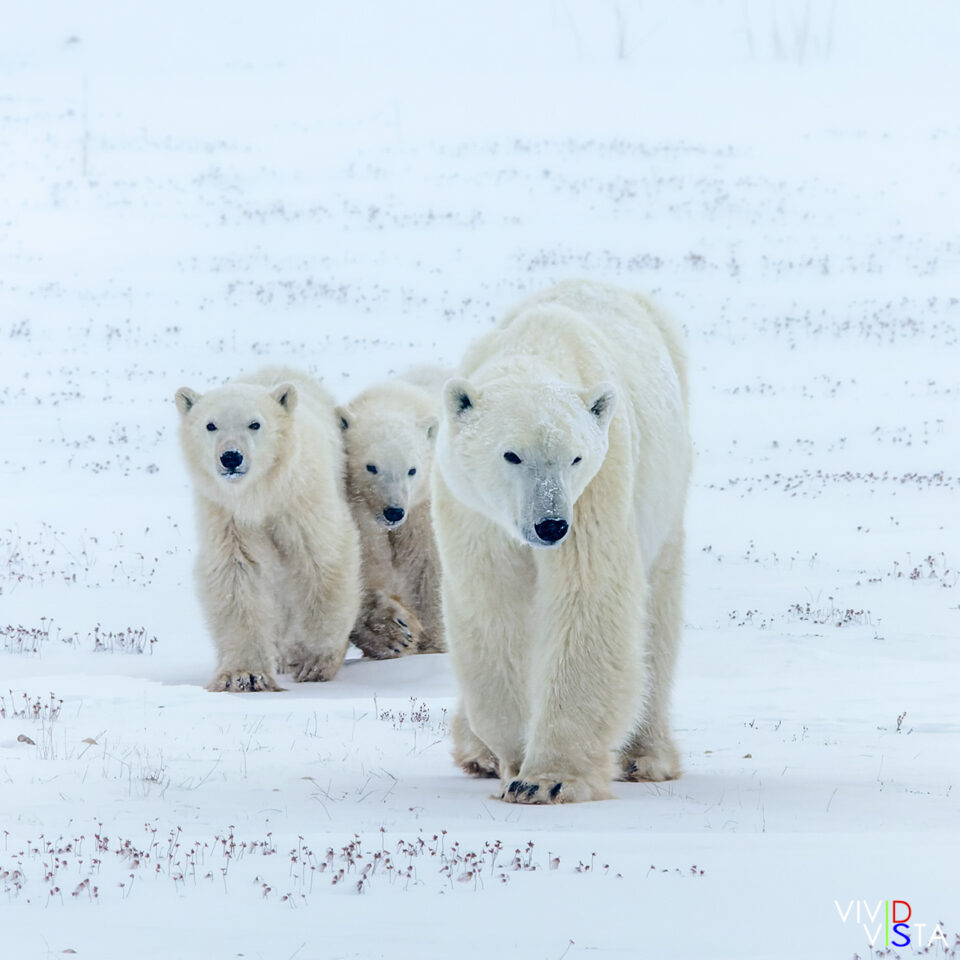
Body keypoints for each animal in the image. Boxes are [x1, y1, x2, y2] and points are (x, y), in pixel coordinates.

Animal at [174, 365, 361, 692]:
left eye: (255, 424)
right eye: (210, 425)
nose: (231, 457)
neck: (260, 494)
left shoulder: (300, 498)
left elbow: (322, 557)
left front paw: (315, 661)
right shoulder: (228, 515)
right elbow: (236, 576)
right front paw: (244, 675)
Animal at [336, 368, 447, 659]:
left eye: (412, 470)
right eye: (371, 467)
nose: (394, 511)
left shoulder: (423, 512)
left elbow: (430, 572)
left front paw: (433, 647)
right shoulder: (361, 516)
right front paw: (392, 634)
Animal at [432, 279, 692, 803]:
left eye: (574, 457)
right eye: (511, 455)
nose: (550, 525)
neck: (537, 347)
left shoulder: (598, 486)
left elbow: (587, 598)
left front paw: (546, 779)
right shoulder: (472, 509)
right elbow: (492, 608)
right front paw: (511, 755)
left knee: (656, 617)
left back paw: (646, 755)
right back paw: (476, 752)